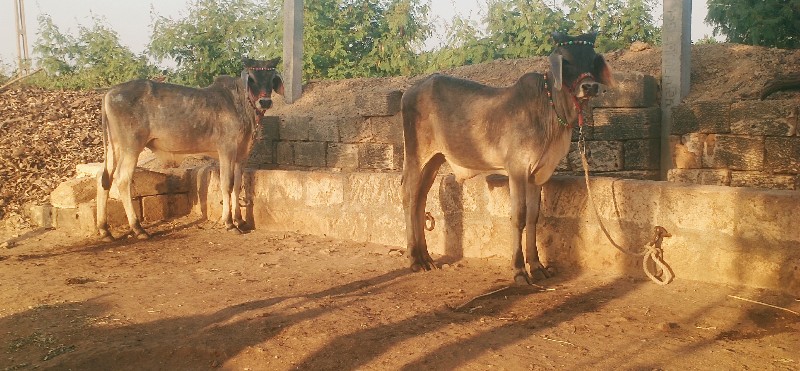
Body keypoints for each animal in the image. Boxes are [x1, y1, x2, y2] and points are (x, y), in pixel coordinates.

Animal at [96, 56, 284, 240]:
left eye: (271, 78)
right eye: (251, 78)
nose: (265, 101)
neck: (241, 104)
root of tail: (110, 92)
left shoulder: (242, 155)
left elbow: (237, 185)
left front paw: (240, 220)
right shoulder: (227, 150)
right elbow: (227, 184)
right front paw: (230, 223)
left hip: (115, 146)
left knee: (104, 178)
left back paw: (105, 230)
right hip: (131, 146)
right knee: (122, 179)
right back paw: (138, 228)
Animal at [404, 32, 616, 284]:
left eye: (592, 60)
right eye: (566, 61)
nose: (590, 86)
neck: (551, 111)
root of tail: (410, 91)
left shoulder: (538, 174)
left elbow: (534, 217)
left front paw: (537, 266)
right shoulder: (517, 170)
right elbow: (519, 217)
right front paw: (519, 270)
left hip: (434, 159)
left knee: (420, 198)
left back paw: (426, 258)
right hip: (416, 156)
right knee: (409, 197)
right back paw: (414, 259)